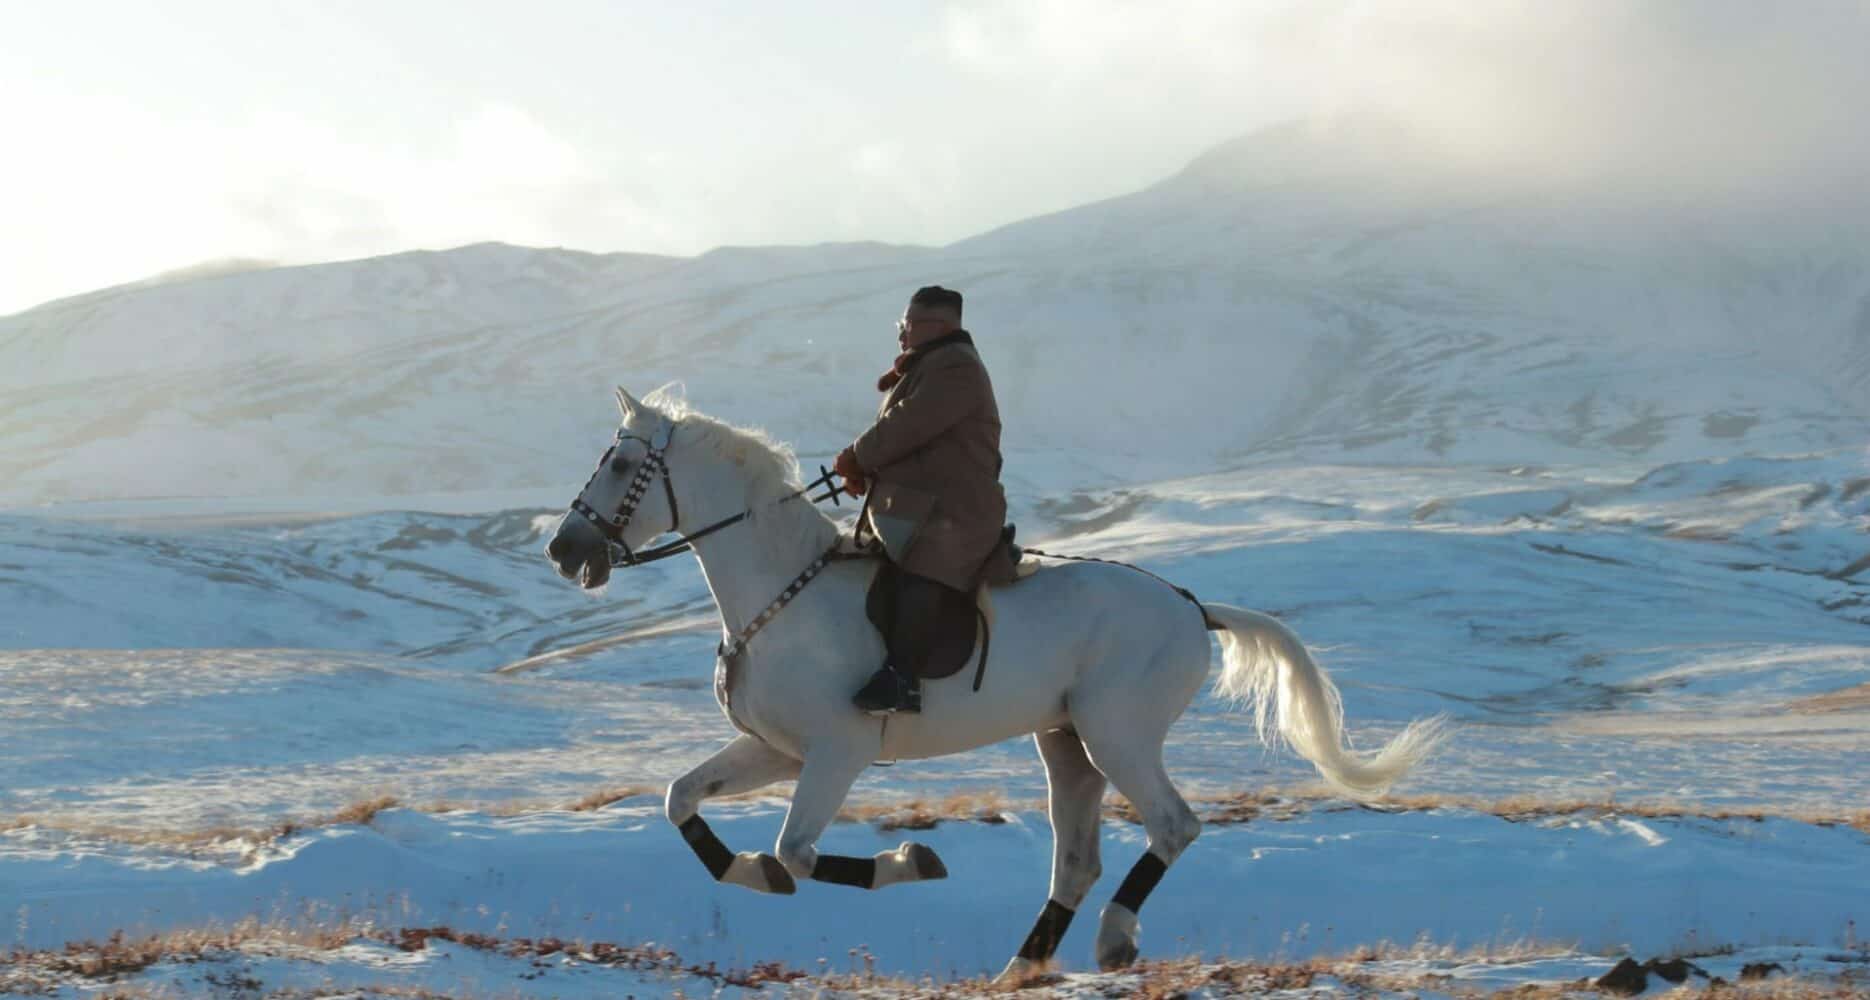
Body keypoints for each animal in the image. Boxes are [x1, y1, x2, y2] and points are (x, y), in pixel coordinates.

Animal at [544, 387, 1446, 981]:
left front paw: (912, 859)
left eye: (620, 461)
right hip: (1066, 742)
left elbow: (797, 851)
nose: (563, 549)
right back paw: (1021, 966)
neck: (782, 589)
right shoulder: (777, 750)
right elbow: (682, 801)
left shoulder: (837, 753)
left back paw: (1114, 940)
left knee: (1173, 825)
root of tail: (1191, 607)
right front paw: (752, 875)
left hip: (1118, 733)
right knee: (1077, 860)